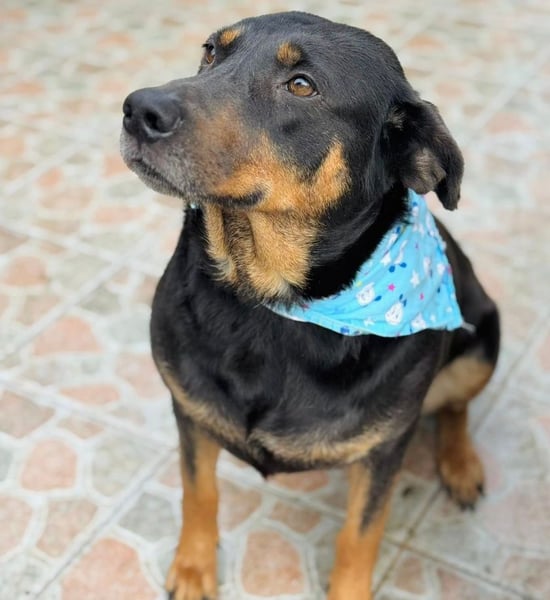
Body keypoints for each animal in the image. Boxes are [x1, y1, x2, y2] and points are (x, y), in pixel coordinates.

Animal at [120, 11, 500, 600]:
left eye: (301, 85)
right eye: (210, 52)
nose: (139, 110)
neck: (272, 303)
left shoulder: (383, 452)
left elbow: (360, 537)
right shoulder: (190, 412)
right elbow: (199, 493)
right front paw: (194, 569)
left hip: (484, 339)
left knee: (455, 406)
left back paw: (460, 464)